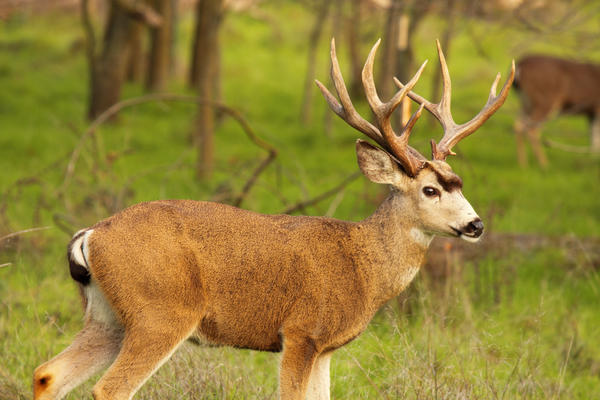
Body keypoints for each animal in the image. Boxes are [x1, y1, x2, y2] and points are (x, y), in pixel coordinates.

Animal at [31, 39, 510, 400]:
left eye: (459, 183)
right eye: (430, 189)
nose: (477, 225)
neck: (362, 266)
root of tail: (90, 234)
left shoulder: (326, 347)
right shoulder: (300, 331)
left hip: (108, 317)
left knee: (47, 375)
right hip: (160, 312)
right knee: (108, 389)